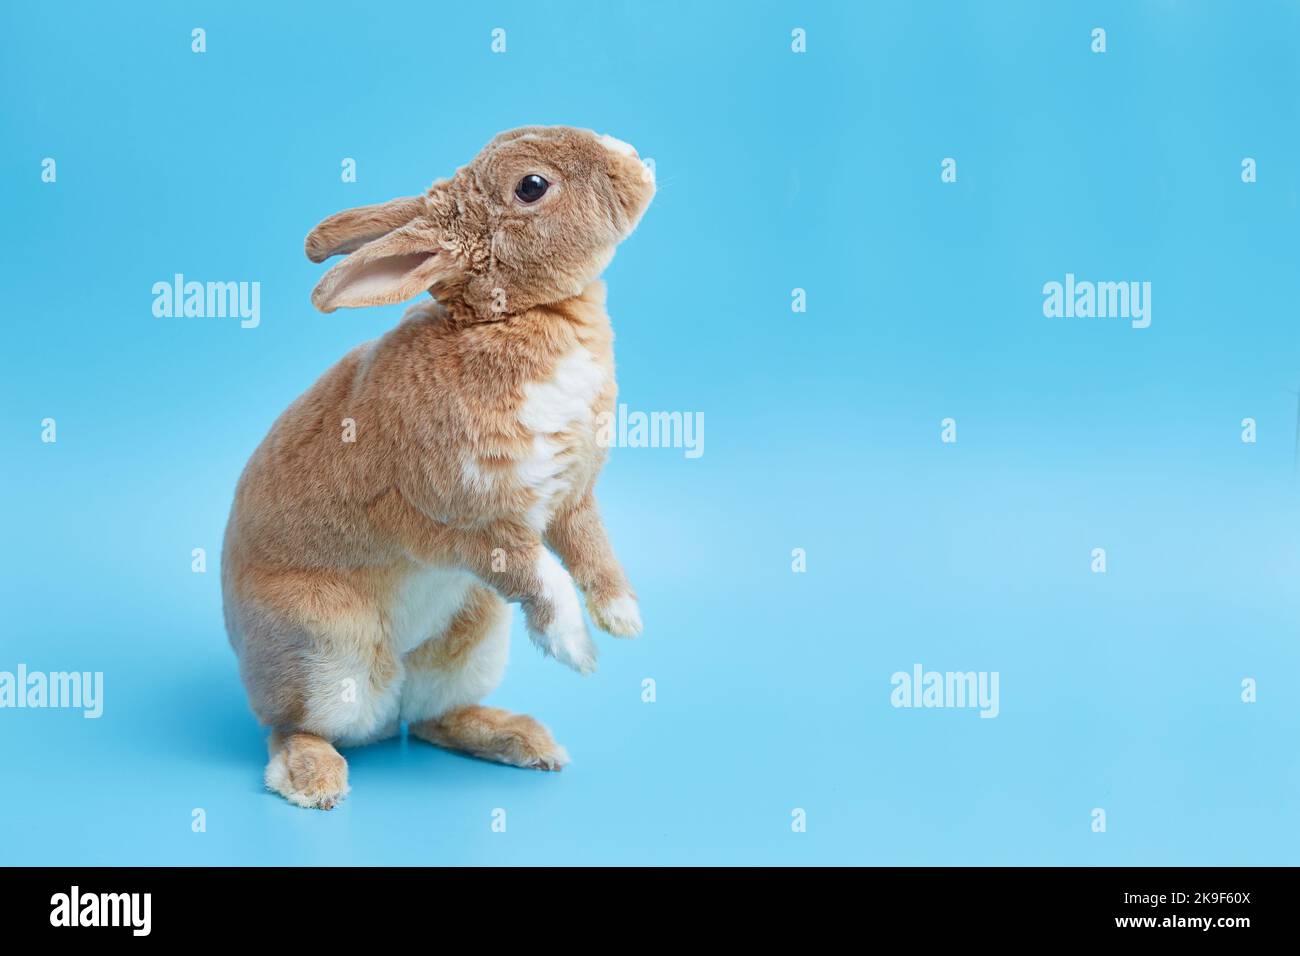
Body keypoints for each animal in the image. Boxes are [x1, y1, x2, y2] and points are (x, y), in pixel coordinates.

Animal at [219, 125, 660, 806]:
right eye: (532, 186)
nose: (633, 158)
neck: (510, 317)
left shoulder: (571, 497)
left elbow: (593, 552)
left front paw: (624, 620)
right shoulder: (466, 529)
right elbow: (543, 577)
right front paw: (578, 650)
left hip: (474, 636)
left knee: (431, 718)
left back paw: (522, 740)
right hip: (326, 654)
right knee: (291, 727)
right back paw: (313, 779)